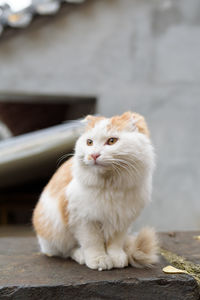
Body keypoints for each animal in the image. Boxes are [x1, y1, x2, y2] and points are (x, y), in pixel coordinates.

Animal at [32, 111, 158, 270]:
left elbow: (115, 244)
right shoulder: (83, 220)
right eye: (89, 142)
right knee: (67, 251)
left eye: (112, 141)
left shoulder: (122, 221)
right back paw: (81, 256)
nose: (94, 155)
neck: (110, 186)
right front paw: (99, 260)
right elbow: (93, 243)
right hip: (54, 235)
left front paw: (116, 258)